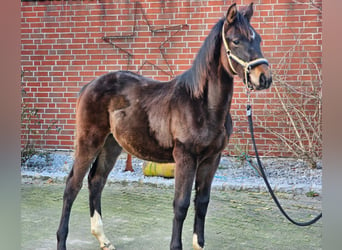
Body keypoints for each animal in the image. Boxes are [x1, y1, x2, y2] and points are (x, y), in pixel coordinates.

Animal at [57, 2, 272, 249]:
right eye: (236, 40)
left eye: (259, 39)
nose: (264, 78)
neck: (202, 104)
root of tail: (89, 85)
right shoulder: (186, 158)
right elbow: (181, 205)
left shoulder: (211, 159)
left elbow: (202, 202)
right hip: (89, 142)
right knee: (72, 186)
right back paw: (62, 239)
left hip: (111, 145)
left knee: (96, 181)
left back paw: (103, 239)